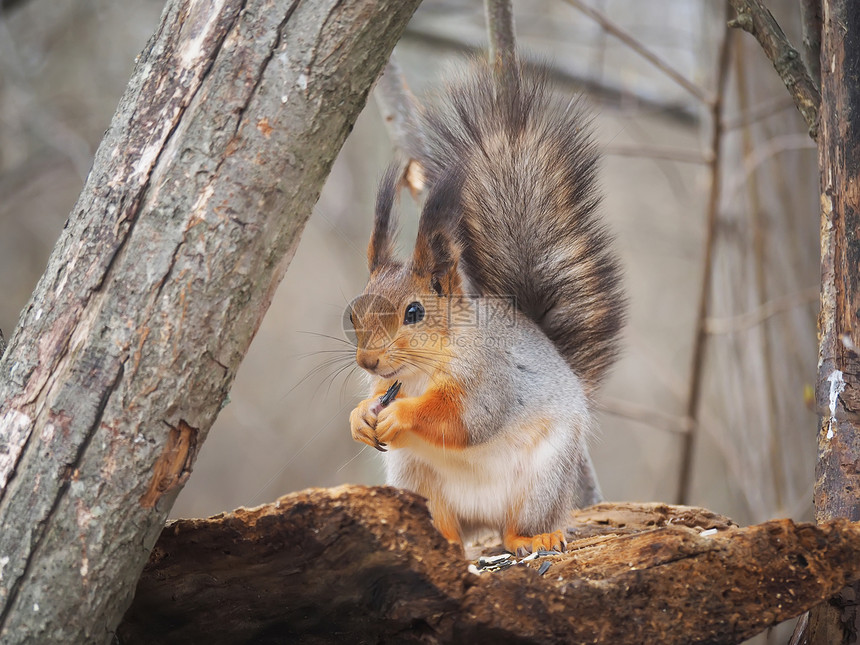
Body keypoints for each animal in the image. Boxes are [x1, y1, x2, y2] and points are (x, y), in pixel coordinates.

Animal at [346, 57, 620, 556]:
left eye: (414, 313)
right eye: (353, 313)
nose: (369, 361)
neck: (421, 370)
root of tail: (484, 518)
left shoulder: (491, 377)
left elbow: (464, 419)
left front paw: (401, 414)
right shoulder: (387, 383)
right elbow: (377, 400)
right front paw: (360, 417)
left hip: (544, 480)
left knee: (519, 525)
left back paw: (536, 536)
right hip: (416, 480)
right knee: (448, 527)